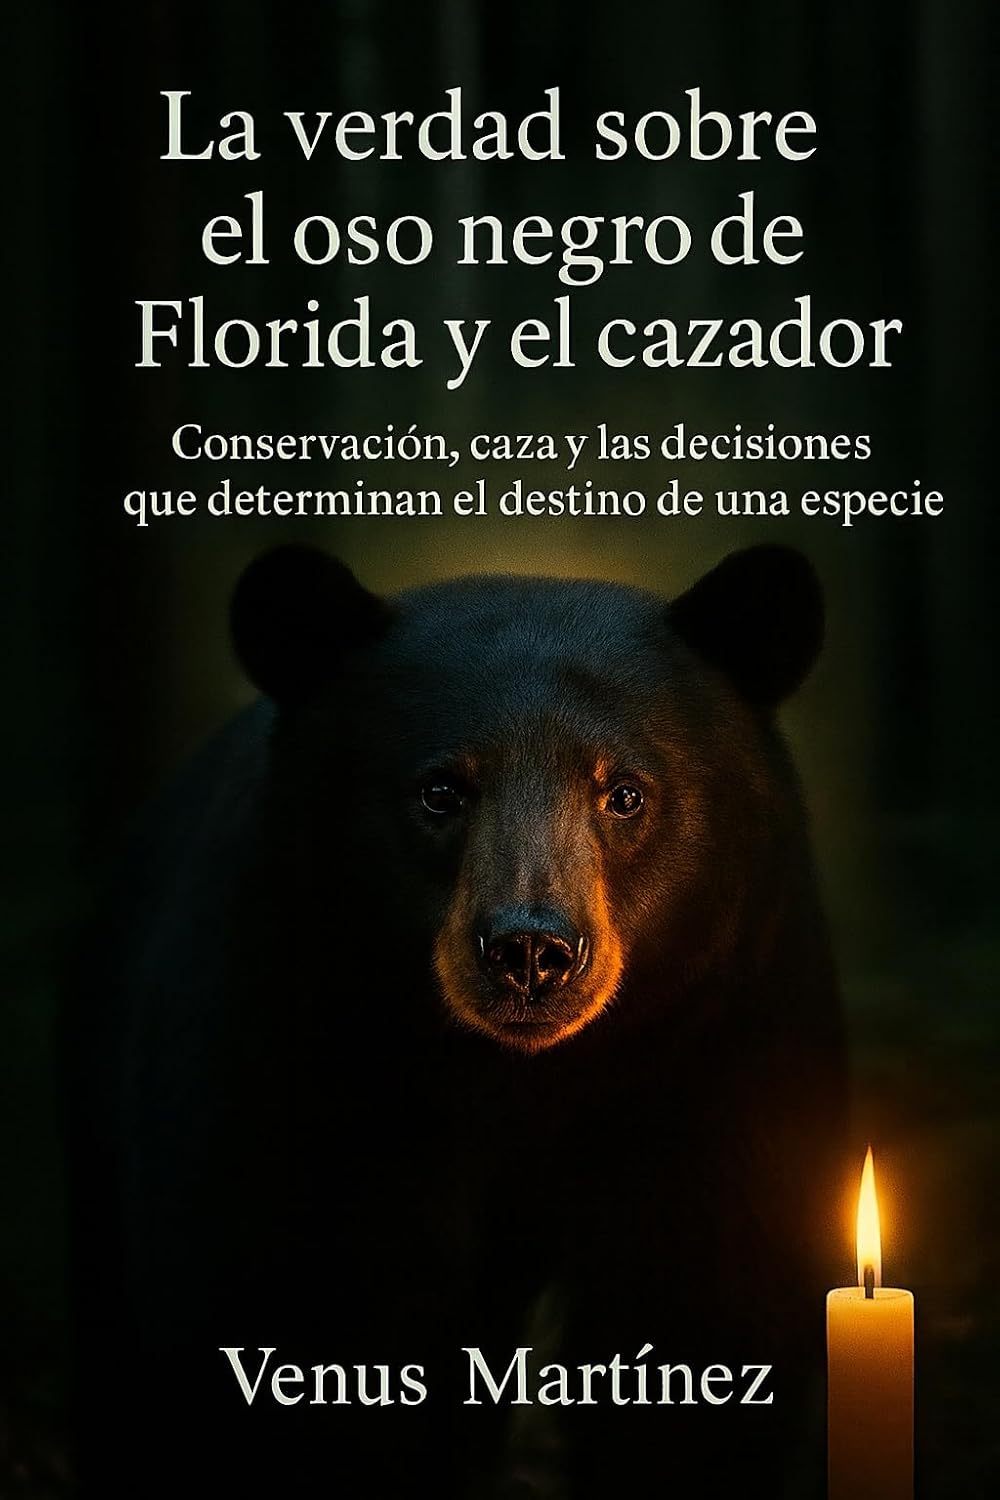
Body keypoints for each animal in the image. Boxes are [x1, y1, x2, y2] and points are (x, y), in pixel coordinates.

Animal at [66, 543, 847, 1500]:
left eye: (624, 793)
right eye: (441, 791)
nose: (531, 952)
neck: (515, 1080)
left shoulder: (728, 1040)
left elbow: (709, 1317)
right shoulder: (275, 1033)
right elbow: (271, 1299)